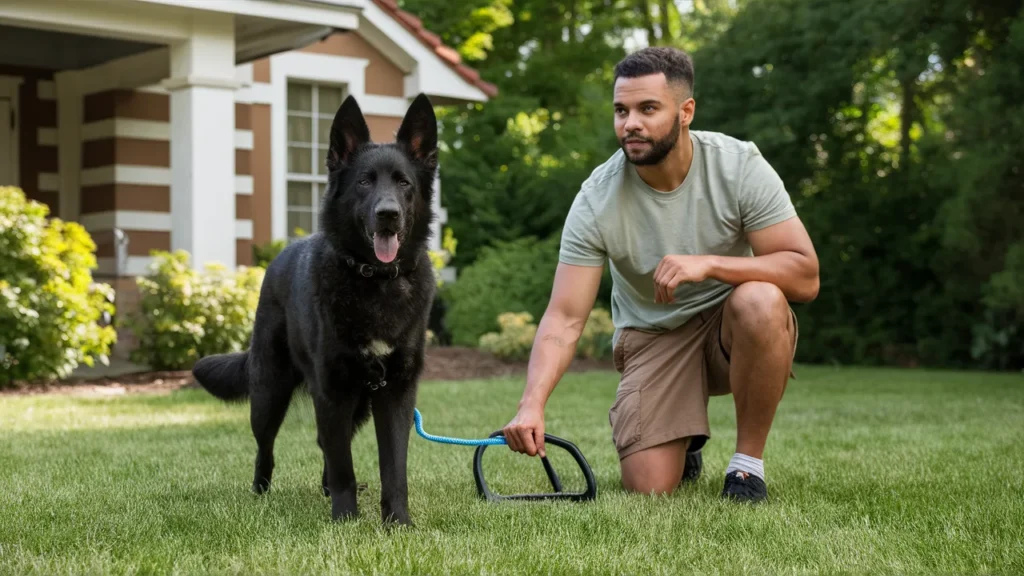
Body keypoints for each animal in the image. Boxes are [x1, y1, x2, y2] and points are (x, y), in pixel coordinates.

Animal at [192, 90, 440, 524]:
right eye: (364, 182)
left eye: (404, 183)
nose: (388, 215)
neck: (375, 279)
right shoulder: (332, 388)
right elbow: (343, 463)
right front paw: (344, 519)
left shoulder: (394, 393)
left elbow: (393, 466)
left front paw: (397, 521)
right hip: (270, 394)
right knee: (268, 447)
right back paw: (260, 492)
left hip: (357, 404)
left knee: (327, 444)